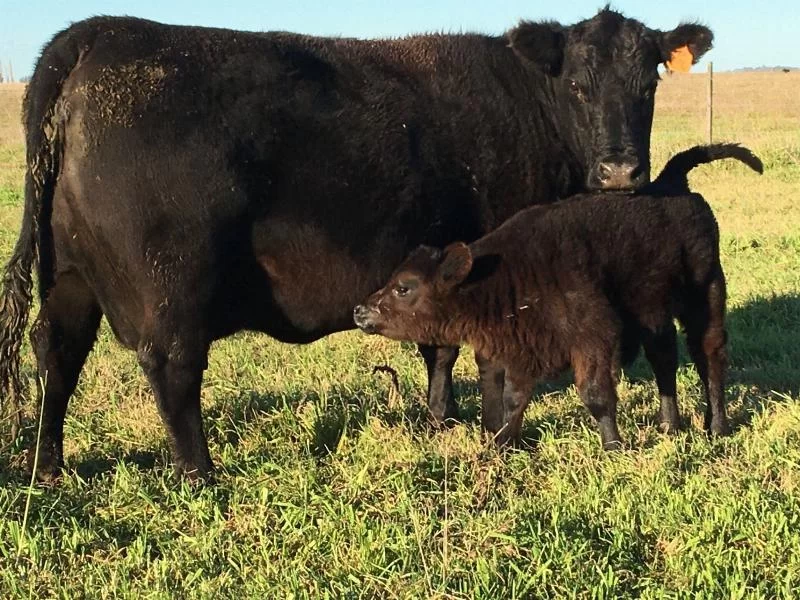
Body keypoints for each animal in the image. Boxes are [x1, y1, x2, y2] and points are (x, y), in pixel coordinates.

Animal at [0, 9, 712, 480]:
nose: (620, 171)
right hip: (171, 287)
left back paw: (47, 468)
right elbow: (487, 356)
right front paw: (497, 432)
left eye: (648, 83)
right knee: (172, 370)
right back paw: (202, 475)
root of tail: (95, 34)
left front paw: (440, 419)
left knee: (56, 355)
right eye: (577, 85)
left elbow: (439, 347)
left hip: (69, 277)